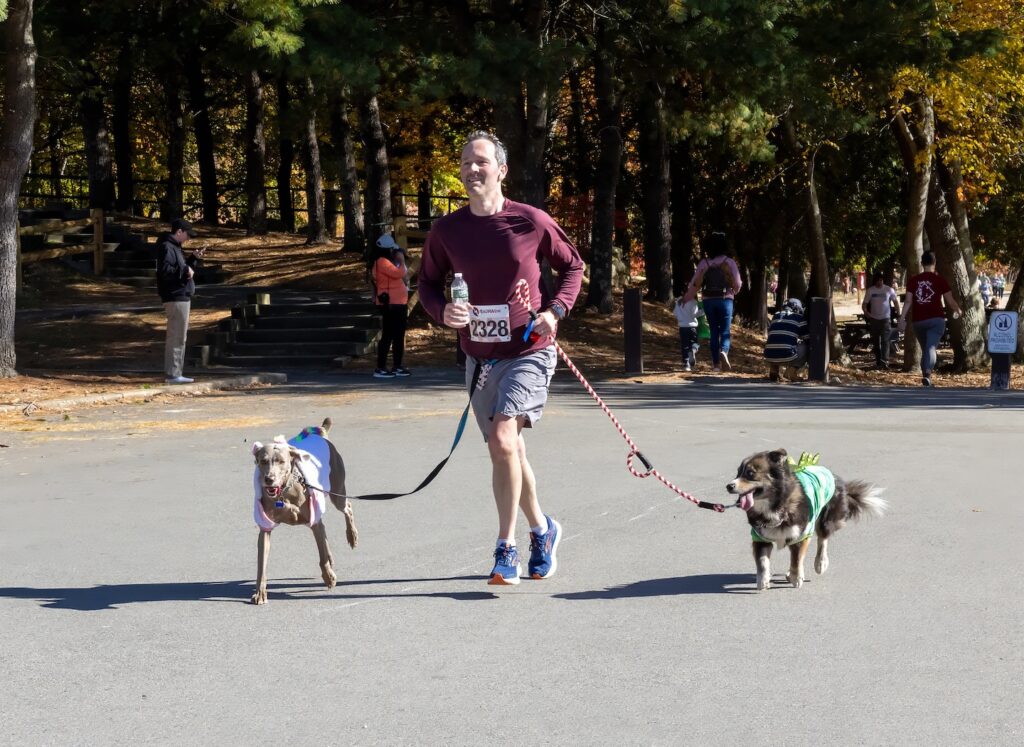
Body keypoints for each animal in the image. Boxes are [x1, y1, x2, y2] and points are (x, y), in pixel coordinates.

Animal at [249, 416, 358, 602]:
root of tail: (320, 433)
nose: (269, 479)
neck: (285, 491)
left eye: (281, 461)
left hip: (336, 490)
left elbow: (321, 556)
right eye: (263, 461)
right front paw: (260, 593)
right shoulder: (265, 526)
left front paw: (329, 577)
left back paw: (352, 536)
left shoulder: (313, 520)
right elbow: (261, 565)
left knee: (347, 508)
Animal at [724, 448, 884, 590]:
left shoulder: (802, 534)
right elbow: (762, 561)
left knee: (822, 540)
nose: (729, 486)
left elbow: (796, 559)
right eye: (738, 473)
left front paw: (796, 578)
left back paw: (820, 563)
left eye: (750, 473)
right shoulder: (759, 537)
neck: (778, 504)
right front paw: (763, 581)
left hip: (825, 519)